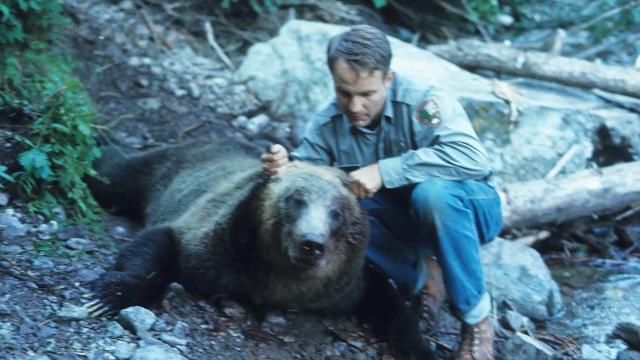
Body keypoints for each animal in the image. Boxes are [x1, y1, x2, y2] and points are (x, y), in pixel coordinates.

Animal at [87, 139, 432, 360]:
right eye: (297, 199)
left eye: (336, 212)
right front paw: (106, 297)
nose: (311, 244)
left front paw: (417, 347)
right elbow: (161, 245)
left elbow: (382, 295)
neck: (281, 280)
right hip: (166, 168)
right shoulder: (215, 244)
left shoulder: (343, 284)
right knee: (113, 175)